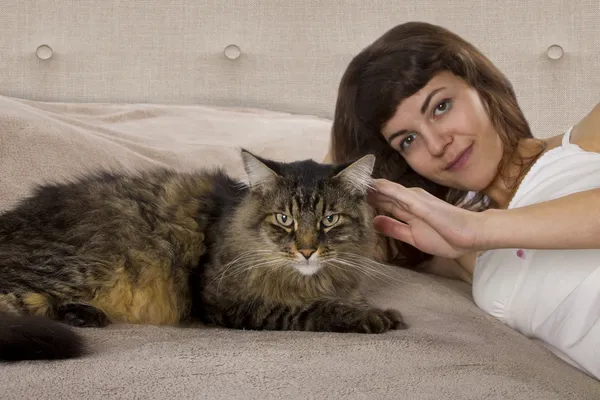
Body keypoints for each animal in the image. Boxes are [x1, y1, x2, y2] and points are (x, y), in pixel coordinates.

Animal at [0, 148, 406, 360]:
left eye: (329, 219)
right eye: (284, 219)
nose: (307, 250)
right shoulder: (226, 301)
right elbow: (308, 309)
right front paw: (369, 316)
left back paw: (85, 316)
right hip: (87, 265)